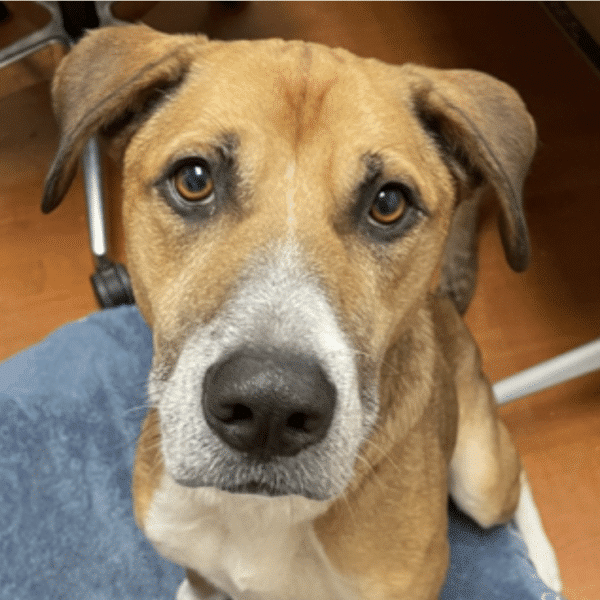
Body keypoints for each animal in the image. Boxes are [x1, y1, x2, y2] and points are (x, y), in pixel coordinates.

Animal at [43, 23, 564, 600]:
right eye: (194, 179)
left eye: (389, 204)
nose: (269, 407)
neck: (257, 511)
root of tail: (447, 306)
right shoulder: (197, 564)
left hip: (481, 478)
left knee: (513, 485)